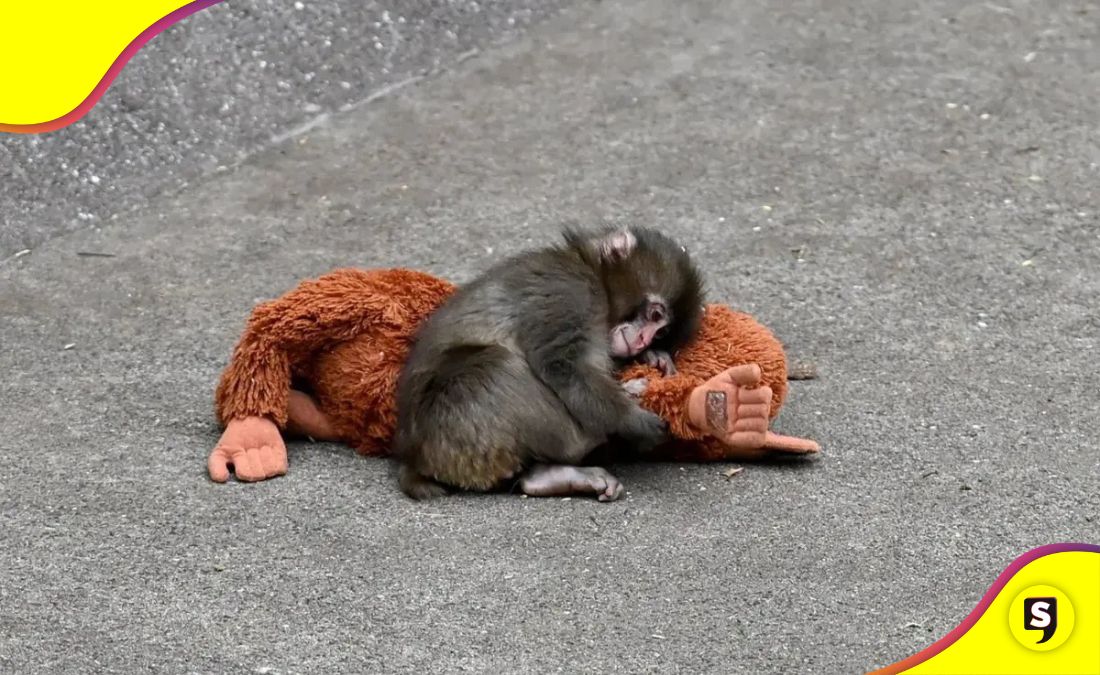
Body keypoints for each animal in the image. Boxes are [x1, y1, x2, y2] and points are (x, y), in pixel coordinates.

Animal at [392, 226, 704, 502]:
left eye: (661, 332)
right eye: (654, 315)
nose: (642, 341)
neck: (591, 271)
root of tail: (413, 459)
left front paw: (653, 357)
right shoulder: (571, 292)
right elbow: (563, 365)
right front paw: (633, 420)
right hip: (453, 426)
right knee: (496, 366)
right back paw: (591, 435)